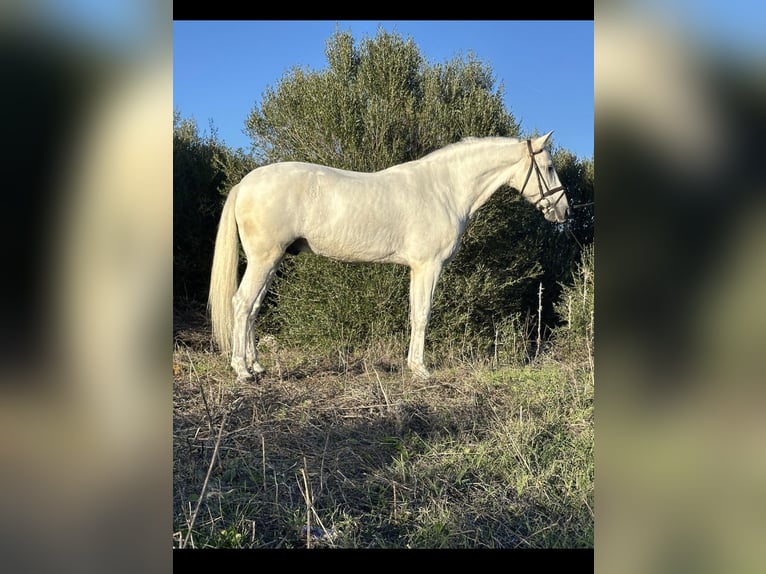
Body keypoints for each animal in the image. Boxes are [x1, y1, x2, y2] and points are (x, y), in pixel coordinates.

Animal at [208, 132, 569, 382]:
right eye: (549, 167)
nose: (564, 211)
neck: (444, 189)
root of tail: (246, 183)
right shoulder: (427, 266)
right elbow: (421, 315)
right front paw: (420, 369)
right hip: (264, 259)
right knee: (242, 303)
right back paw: (242, 370)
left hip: (271, 260)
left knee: (253, 308)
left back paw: (257, 366)